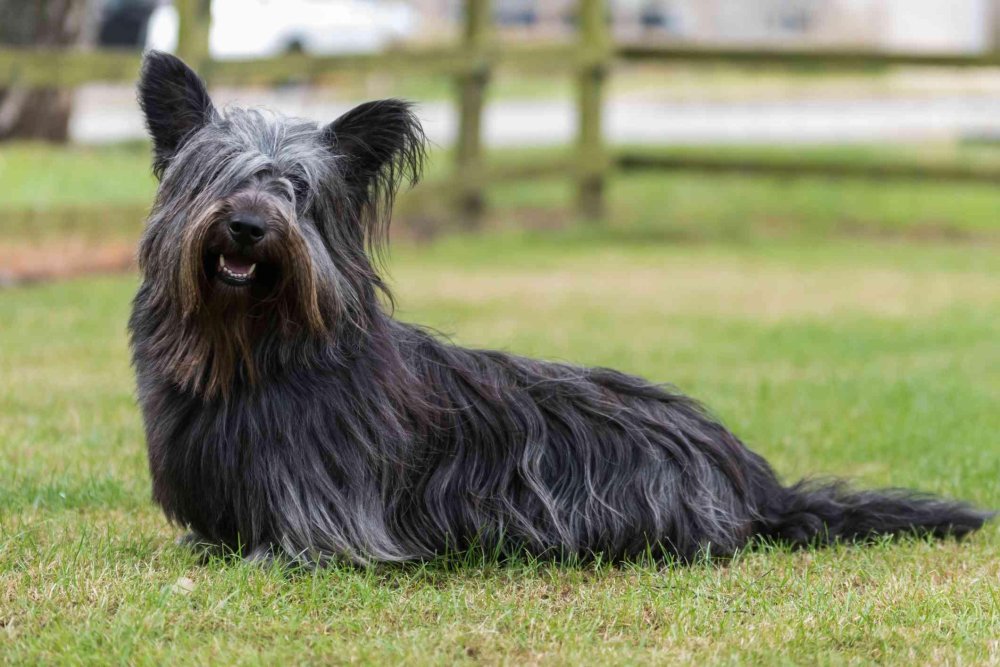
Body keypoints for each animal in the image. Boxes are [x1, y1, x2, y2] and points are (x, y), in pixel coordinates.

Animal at [127, 53, 992, 564]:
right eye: (215, 174)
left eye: (298, 192)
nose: (248, 225)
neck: (256, 350)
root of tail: (756, 483)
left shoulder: (333, 523)